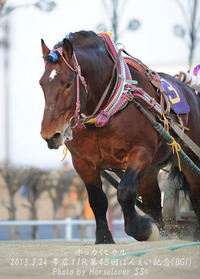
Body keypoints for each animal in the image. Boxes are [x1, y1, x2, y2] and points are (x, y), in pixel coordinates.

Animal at [39, 30, 200, 244]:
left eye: (68, 84)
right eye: (42, 83)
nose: (50, 135)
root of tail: (190, 90)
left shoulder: (140, 152)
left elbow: (125, 192)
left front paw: (143, 230)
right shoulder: (82, 162)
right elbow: (97, 200)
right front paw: (104, 237)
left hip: (190, 156)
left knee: (196, 195)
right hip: (151, 170)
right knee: (153, 202)